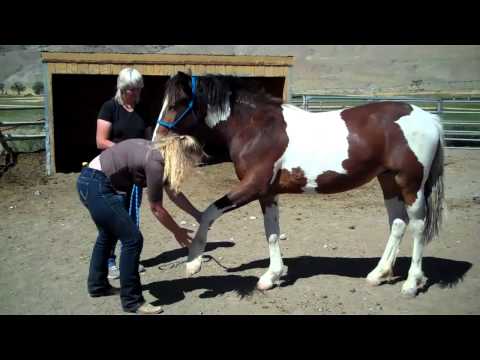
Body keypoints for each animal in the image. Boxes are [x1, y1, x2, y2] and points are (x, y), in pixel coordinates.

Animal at [158, 71, 446, 296]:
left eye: (178, 102)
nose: (157, 136)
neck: (256, 128)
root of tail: (429, 119)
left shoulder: (252, 187)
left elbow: (208, 213)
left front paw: (193, 262)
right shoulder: (267, 193)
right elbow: (272, 232)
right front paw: (271, 276)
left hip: (410, 184)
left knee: (418, 226)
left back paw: (411, 284)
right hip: (388, 181)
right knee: (397, 223)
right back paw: (378, 274)